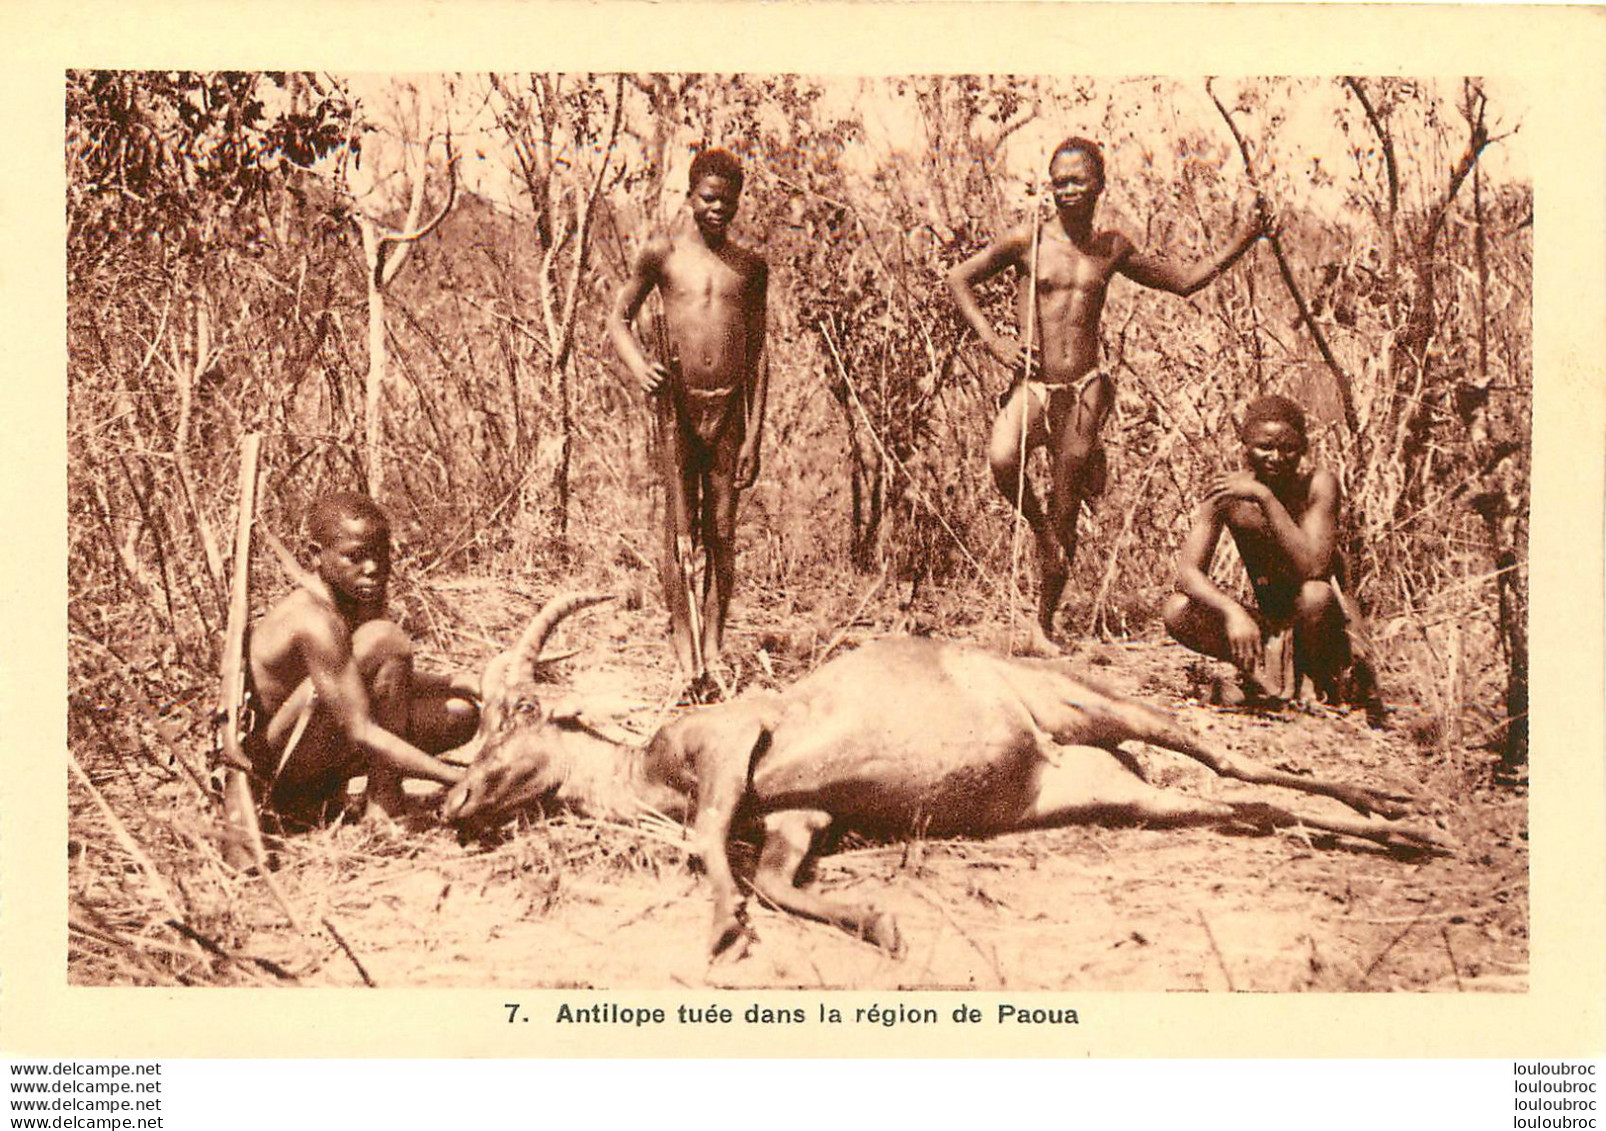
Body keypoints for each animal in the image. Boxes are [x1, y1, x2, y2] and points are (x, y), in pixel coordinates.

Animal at [440, 591, 1445, 951]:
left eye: (521, 711)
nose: (454, 800)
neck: (651, 762)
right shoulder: (802, 820)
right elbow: (776, 879)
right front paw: (878, 922)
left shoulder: (735, 738)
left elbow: (706, 843)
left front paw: (723, 926)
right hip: (1121, 795)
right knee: (1236, 807)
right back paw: (1393, 828)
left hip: (1103, 708)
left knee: (1230, 753)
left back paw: (1398, 810)